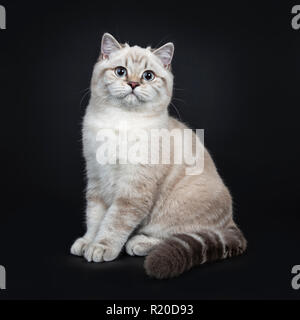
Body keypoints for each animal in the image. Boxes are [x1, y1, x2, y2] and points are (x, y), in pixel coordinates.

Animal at [70, 31, 246, 278]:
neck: (121, 121)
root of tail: (231, 222)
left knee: (176, 235)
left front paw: (101, 247)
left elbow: (114, 222)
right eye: (120, 71)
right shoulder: (96, 178)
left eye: (148, 75)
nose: (133, 83)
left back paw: (139, 242)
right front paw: (88, 242)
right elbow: (95, 217)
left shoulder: (134, 191)